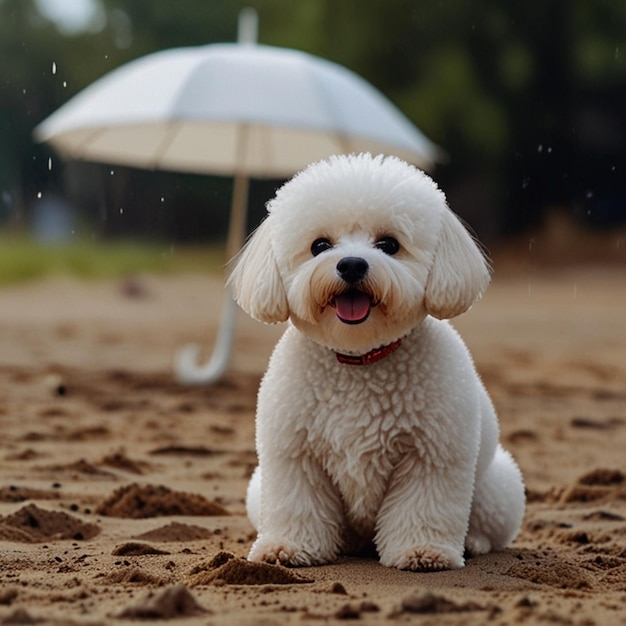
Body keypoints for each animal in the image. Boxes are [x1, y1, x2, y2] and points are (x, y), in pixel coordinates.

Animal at [227, 152, 524, 572]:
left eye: (389, 244)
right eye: (319, 245)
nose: (351, 264)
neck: (360, 360)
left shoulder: (430, 455)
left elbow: (422, 506)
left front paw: (422, 551)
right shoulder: (296, 456)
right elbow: (297, 504)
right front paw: (289, 546)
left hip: (498, 487)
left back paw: (474, 542)